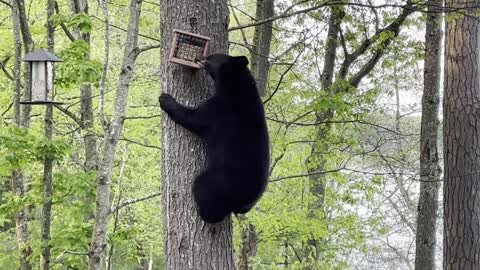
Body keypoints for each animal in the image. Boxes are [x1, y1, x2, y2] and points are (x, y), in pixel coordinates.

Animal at [158, 53, 268, 223]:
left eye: (210, 58)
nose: (199, 58)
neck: (237, 87)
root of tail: (244, 203)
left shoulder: (218, 110)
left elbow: (193, 118)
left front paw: (166, 99)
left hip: (218, 182)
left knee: (202, 190)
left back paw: (202, 212)